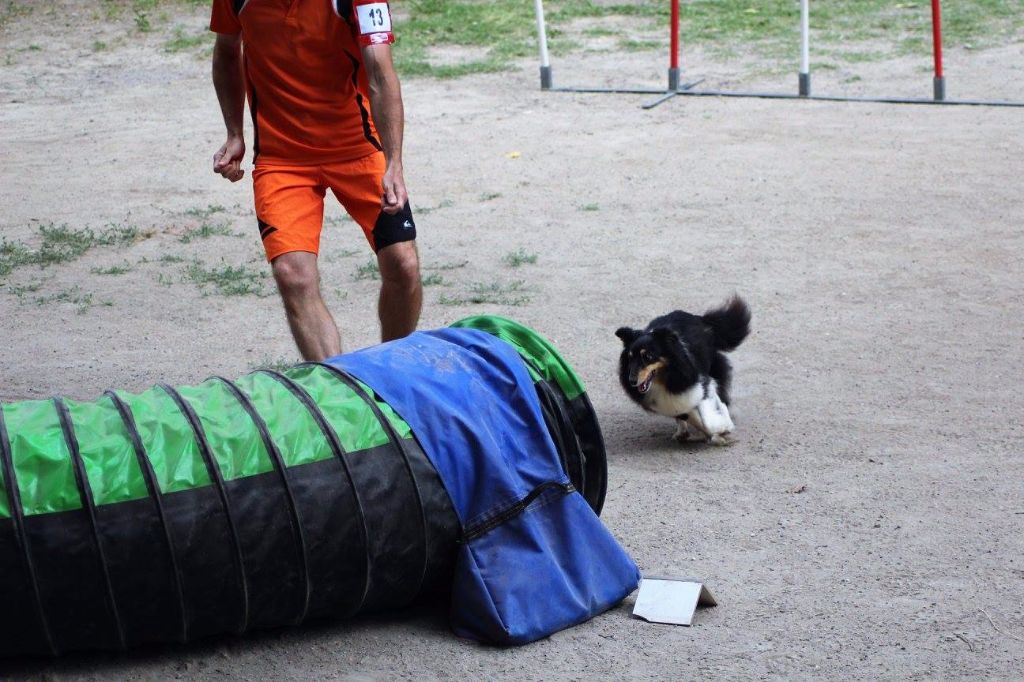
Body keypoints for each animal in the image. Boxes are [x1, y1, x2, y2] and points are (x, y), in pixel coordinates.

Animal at [614, 294, 753, 444]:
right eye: (630, 358)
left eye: (648, 357)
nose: (632, 381)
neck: (664, 380)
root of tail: (700, 319)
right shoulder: (675, 399)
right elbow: (689, 415)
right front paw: (714, 433)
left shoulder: (699, 384)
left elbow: (707, 415)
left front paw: (723, 429)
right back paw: (682, 432)